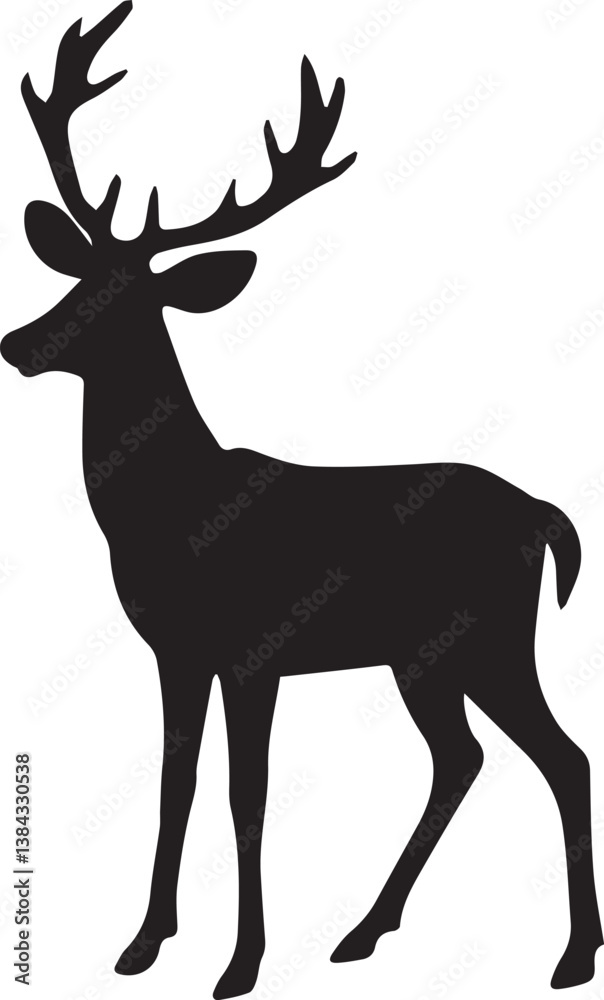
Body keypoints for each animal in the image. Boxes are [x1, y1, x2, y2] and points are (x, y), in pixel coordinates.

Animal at [2, 3, 602, 996]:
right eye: (76, 276)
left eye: (131, 302)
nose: (18, 341)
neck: (173, 513)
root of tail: (549, 518)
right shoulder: (175, 651)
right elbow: (175, 784)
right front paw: (142, 943)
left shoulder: (255, 649)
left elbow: (248, 794)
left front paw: (240, 965)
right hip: (423, 657)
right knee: (462, 758)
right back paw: (364, 930)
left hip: (494, 637)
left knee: (562, 755)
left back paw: (569, 955)